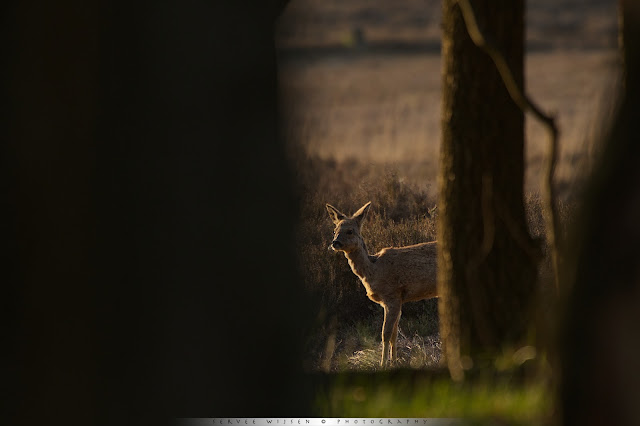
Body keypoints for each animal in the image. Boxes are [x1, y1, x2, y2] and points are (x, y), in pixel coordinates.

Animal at [328, 202, 438, 366]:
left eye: (350, 231)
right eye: (334, 231)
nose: (335, 243)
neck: (374, 269)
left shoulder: (392, 295)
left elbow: (385, 333)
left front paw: (383, 364)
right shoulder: (397, 301)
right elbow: (394, 333)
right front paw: (394, 361)